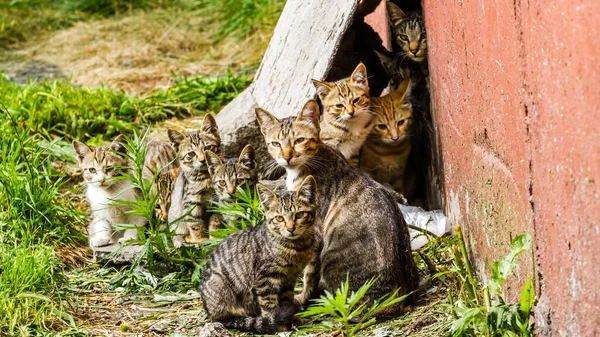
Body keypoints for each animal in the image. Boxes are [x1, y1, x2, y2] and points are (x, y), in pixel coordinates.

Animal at [166, 113, 220, 247]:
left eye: (207, 147)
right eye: (191, 154)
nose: (202, 160)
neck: (207, 178)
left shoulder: (218, 200)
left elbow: (215, 221)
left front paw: (215, 237)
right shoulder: (191, 202)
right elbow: (195, 224)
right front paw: (200, 240)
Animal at [198, 176, 318, 334]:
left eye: (299, 214)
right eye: (279, 218)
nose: (290, 228)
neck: (297, 248)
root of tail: (209, 312)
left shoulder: (289, 278)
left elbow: (286, 300)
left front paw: (291, 319)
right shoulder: (265, 278)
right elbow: (269, 303)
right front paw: (276, 323)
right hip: (219, 285)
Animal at [255, 100, 420, 312]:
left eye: (299, 140)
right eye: (275, 143)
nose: (286, 156)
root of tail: (398, 298)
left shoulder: (314, 233)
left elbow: (309, 273)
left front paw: (303, 297)